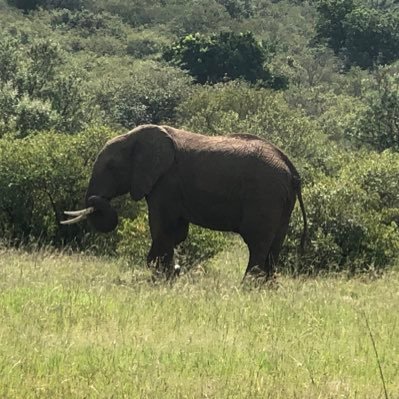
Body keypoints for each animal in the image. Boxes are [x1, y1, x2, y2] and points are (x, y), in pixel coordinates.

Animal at [62, 125, 308, 282]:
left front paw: (159, 277)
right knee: (274, 247)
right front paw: (171, 274)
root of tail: (292, 171)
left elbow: (161, 227)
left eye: (111, 167)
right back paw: (267, 289)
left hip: (264, 197)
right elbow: (177, 233)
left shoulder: (165, 182)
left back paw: (246, 288)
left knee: (257, 243)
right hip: (280, 202)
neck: (134, 136)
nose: (97, 200)